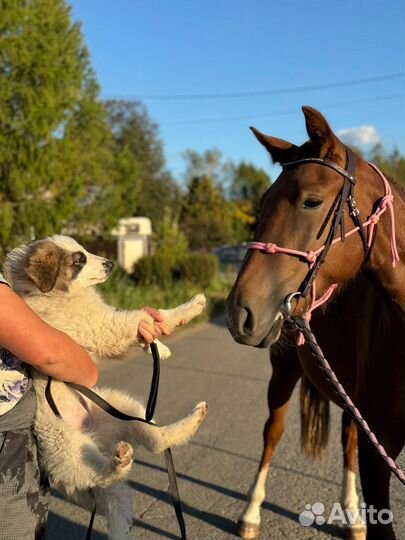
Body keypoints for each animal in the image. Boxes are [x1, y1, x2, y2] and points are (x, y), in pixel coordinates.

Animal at [4, 235, 208, 540]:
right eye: (79, 259)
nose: (111, 264)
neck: (54, 295)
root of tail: (101, 440)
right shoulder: (101, 326)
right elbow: (140, 318)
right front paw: (189, 308)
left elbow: (144, 324)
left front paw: (159, 347)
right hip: (64, 445)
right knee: (98, 471)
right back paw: (118, 463)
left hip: (125, 409)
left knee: (155, 442)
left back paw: (191, 420)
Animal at [226, 106, 404, 540]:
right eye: (261, 205)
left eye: (311, 201)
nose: (239, 312)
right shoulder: (381, 451)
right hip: (283, 373)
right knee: (272, 433)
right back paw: (251, 513)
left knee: (348, 441)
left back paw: (352, 514)